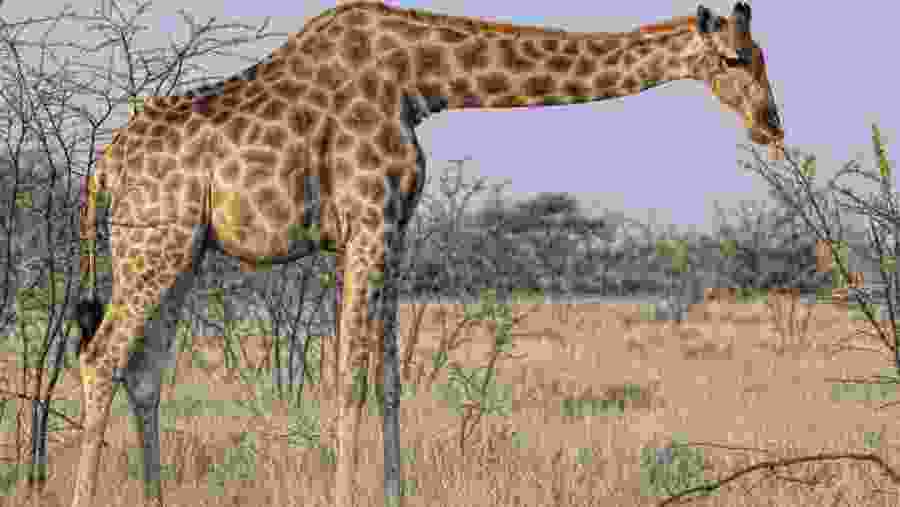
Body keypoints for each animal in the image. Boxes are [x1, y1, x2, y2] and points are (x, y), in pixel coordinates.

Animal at [68, 2, 784, 506]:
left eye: (760, 54)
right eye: (734, 58)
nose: (772, 126)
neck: (419, 80)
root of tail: (103, 167)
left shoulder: (396, 226)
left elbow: (389, 382)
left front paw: (395, 496)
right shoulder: (366, 222)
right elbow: (349, 380)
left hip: (180, 250)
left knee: (144, 370)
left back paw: (155, 498)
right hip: (151, 242)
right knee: (101, 357)